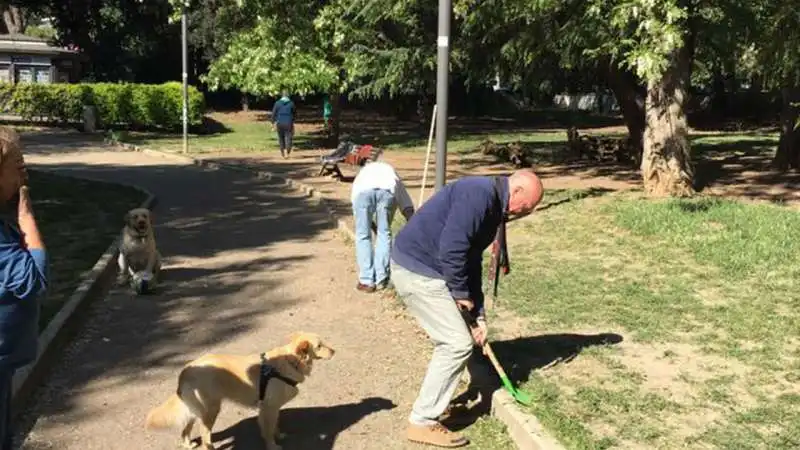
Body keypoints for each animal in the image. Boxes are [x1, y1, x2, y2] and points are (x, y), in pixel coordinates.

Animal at [146, 332, 334, 450]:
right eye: (319, 346)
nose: (334, 350)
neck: (291, 361)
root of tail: (186, 370)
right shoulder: (269, 408)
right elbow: (268, 430)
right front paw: (272, 446)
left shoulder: (270, 408)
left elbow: (274, 427)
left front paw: (278, 436)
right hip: (210, 409)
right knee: (205, 434)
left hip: (196, 408)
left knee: (185, 428)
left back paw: (187, 444)